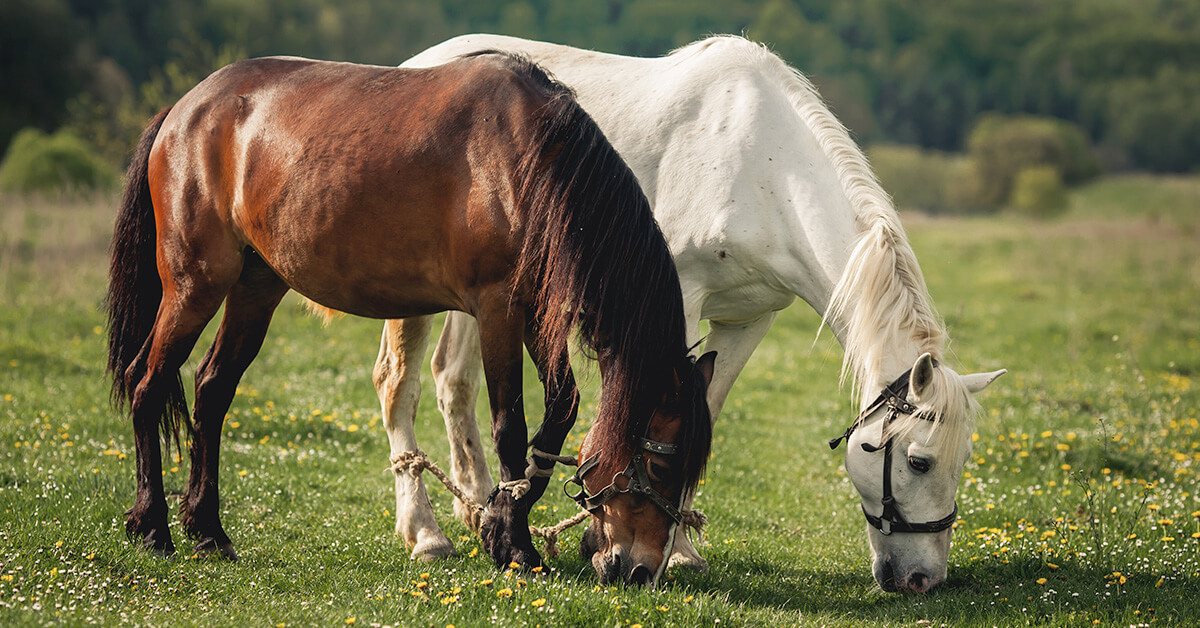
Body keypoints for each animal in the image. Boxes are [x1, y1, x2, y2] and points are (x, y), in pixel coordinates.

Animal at [104, 51, 715, 587]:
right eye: (662, 468)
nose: (640, 571)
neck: (529, 162)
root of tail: (185, 110)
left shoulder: (537, 314)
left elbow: (559, 412)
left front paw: (499, 523)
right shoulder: (498, 310)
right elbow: (510, 428)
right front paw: (516, 547)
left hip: (256, 289)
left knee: (211, 391)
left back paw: (208, 531)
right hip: (194, 287)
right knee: (147, 383)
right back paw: (153, 527)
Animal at [375, 35, 1007, 593]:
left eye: (963, 460)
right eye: (919, 462)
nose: (922, 579)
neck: (764, 169)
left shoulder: (750, 320)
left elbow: (705, 411)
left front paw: (675, 547)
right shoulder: (675, 302)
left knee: (453, 381)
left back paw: (481, 508)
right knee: (399, 383)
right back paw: (427, 533)